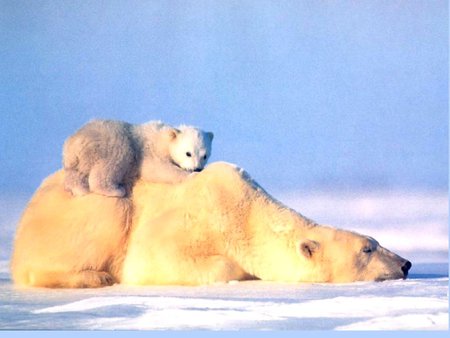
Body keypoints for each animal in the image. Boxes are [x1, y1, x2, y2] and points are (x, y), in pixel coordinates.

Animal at [10, 162, 412, 286]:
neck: (246, 211)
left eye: (375, 241)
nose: (406, 264)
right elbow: (154, 259)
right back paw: (96, 277)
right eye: (368, 248)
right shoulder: (188, 220)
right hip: (86, 209)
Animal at [62, 119, 214, 197]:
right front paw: (190, 176)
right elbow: (156, 169)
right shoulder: (149, 151)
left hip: (80, 159)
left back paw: (80, 190)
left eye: (205, 155)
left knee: (75, 174)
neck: (163, 138)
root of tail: (73, 142)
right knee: (114, 161)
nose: (198, 169)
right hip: (112, 142)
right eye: (188, 153)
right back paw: (116, 190)